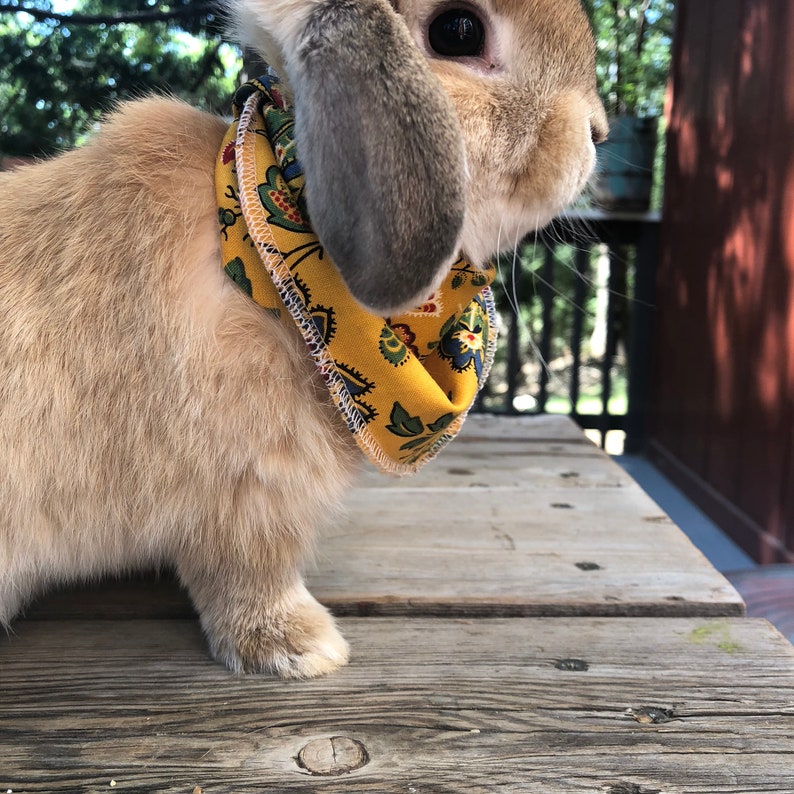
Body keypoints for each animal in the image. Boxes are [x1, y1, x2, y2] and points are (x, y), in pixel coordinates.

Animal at [0, 0, 606, 678]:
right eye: (458, 31)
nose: (597, 132)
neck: (261, 252)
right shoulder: (250, 491)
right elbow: (250, 576)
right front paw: (300, 648)